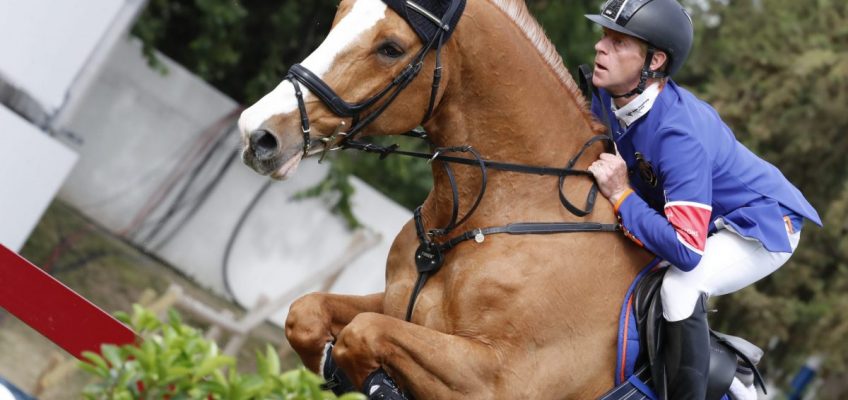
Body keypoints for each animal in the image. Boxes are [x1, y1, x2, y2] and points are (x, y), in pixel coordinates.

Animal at [240, 0, 656, 396]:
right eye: (338, 16)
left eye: (391, 49)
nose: (257, 133)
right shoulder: (396, 304)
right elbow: (307, 313)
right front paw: (330, 365)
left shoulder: (498, 379)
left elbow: (363, 333)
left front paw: (374, 382)